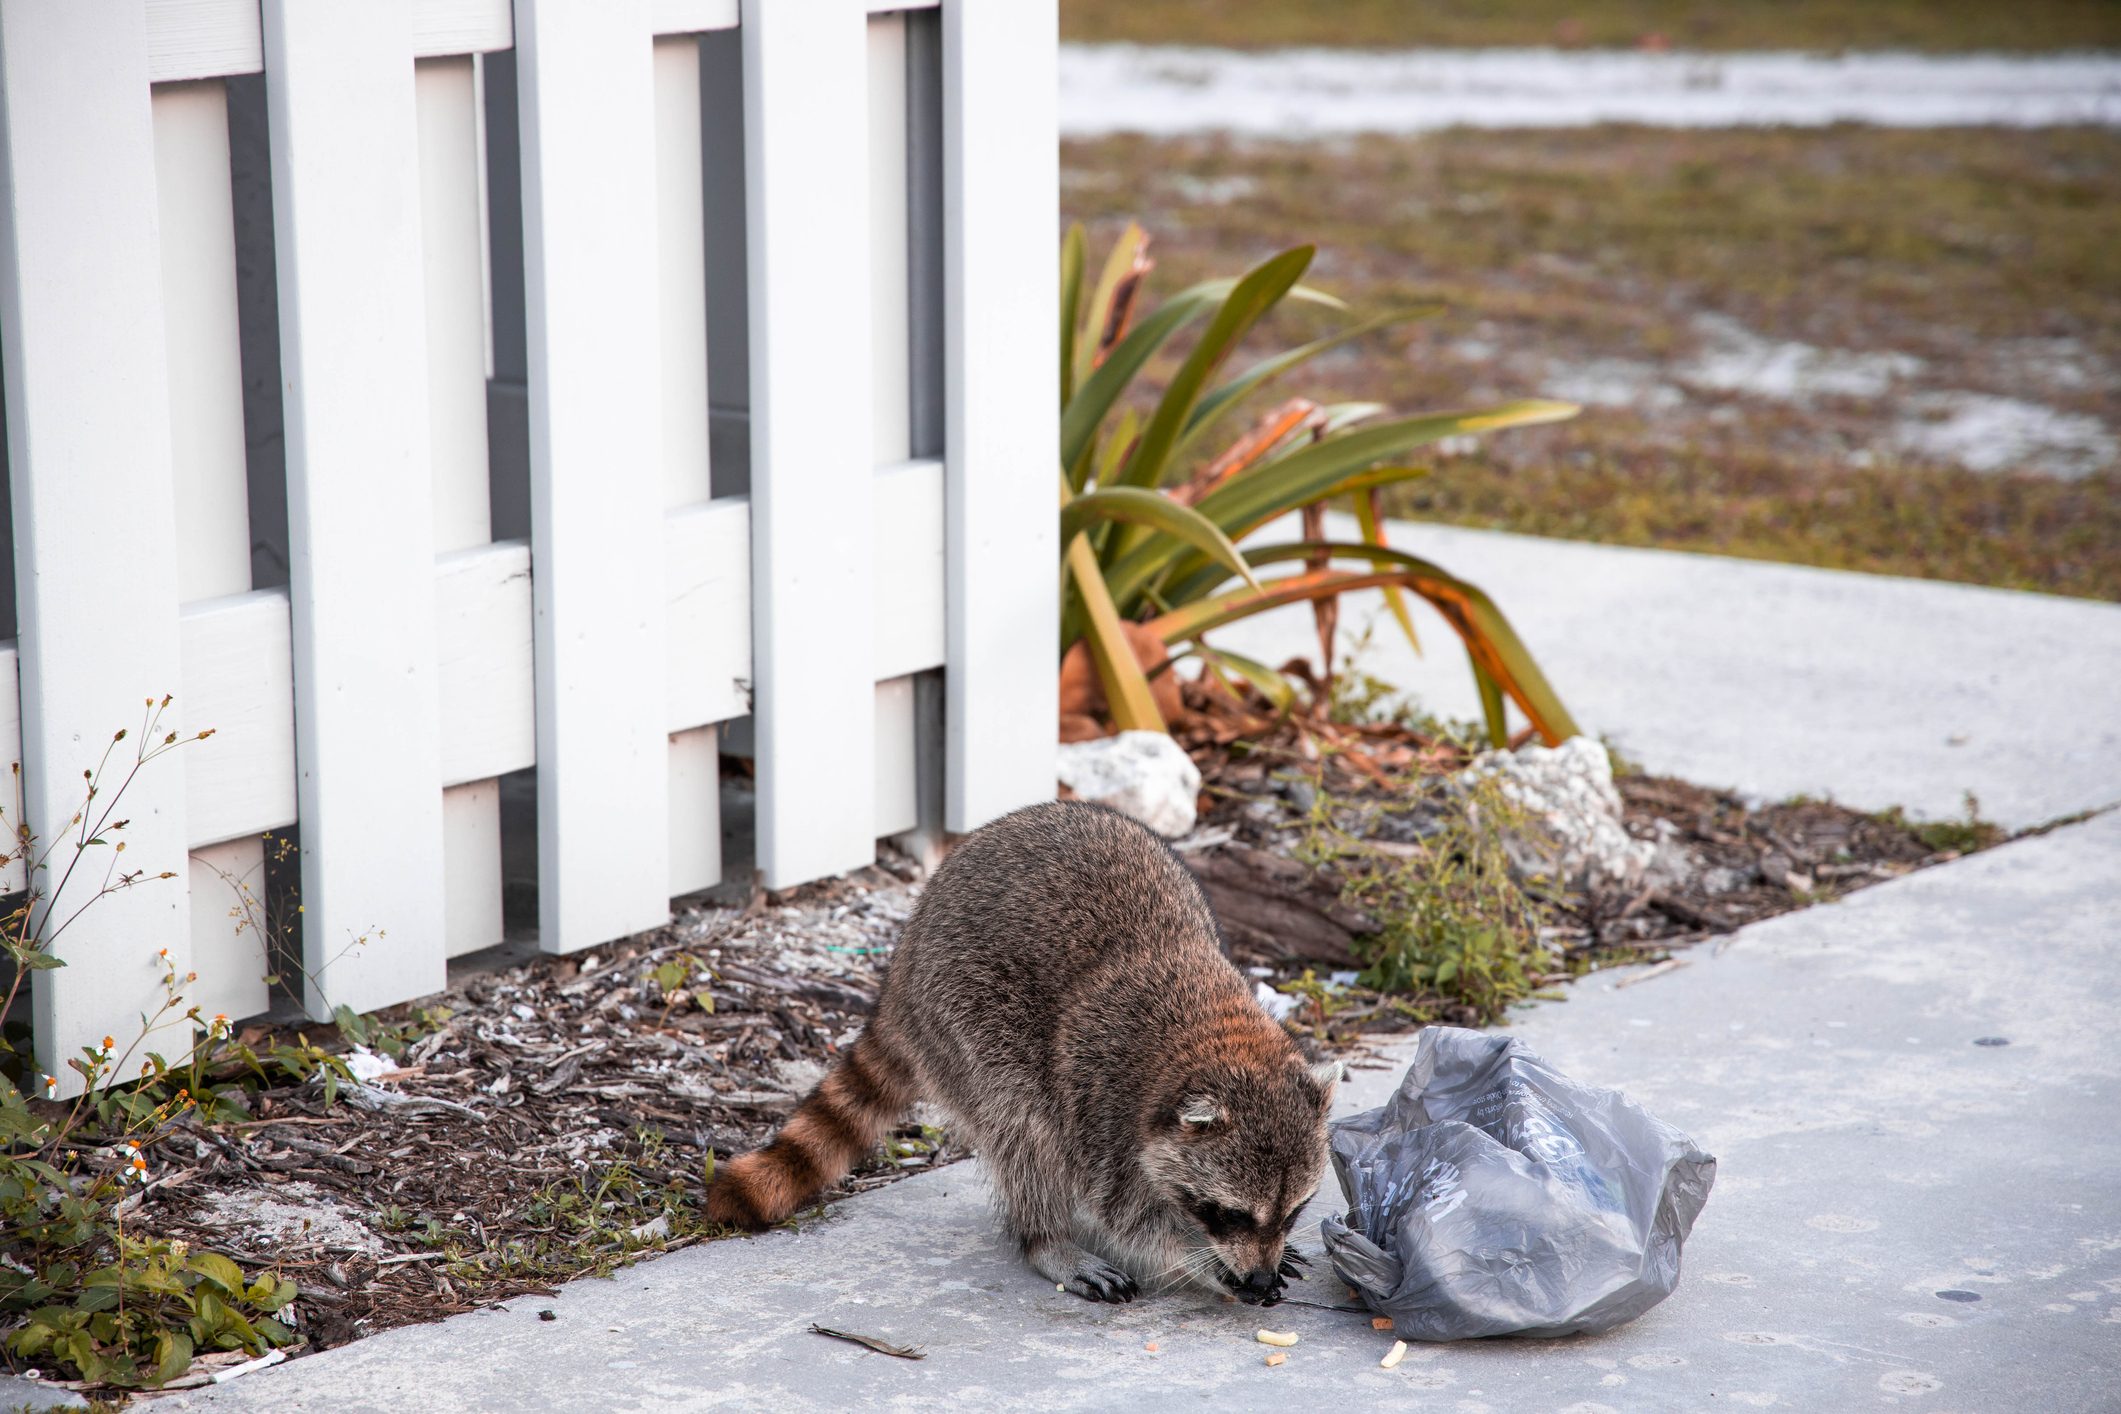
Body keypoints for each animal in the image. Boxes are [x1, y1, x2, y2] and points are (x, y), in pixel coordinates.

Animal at [705, 799, 1338, 1304]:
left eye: (1294, 1211)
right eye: (1229, 1213)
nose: (1259, 1277)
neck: (1214, 1029)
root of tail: (901, 973)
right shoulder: (1102, 1102)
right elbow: (1128, 1218)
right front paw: (1198, 1260)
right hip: (965, 1018)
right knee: (1024, 1126)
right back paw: (1045, 1239)